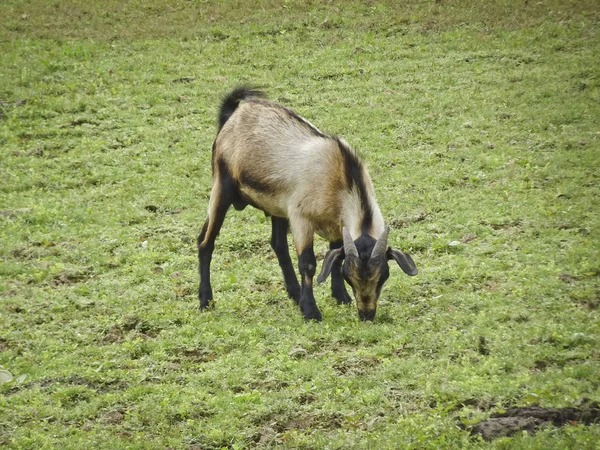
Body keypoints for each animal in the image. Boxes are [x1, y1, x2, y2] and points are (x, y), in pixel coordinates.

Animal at [197, 87, 418, 320]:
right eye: (350, 276)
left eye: (383, 275)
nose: (366, 314)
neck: (340, 174)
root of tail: (234, 114)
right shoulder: (300, 217)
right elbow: (308, 263)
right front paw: (311, 311)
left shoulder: (336, 224)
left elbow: (334, 255)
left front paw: (340, 297)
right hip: (222, 186)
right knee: (205, 242)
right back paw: (206, 301)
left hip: (277, 205)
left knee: (279, 245)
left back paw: (295, 294)